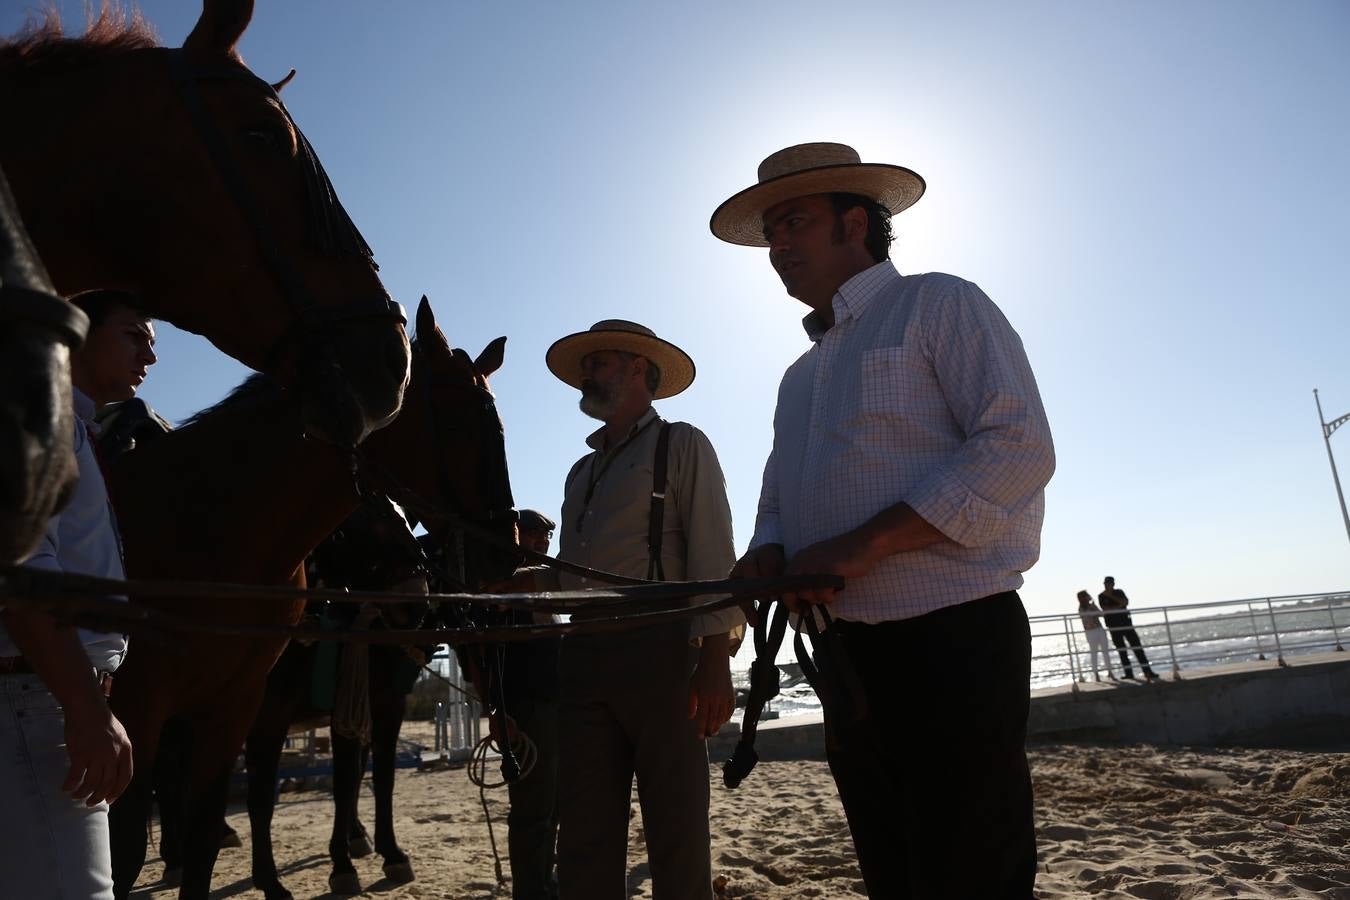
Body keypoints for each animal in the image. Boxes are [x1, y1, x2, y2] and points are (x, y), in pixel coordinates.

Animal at [103, 299, 515, 895]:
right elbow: (292, 790)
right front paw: (335, 864)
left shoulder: (349, 704)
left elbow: (368, 778)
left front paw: (372, 850)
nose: (503, 553)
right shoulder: (180, 706)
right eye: (465, 423)